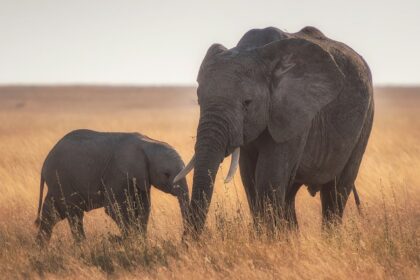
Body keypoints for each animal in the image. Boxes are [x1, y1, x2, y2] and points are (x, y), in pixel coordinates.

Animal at [36, 130, 190, 244]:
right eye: (166, 174)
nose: (183, 239)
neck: (148, 143)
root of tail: (44, 165)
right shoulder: (118, 174)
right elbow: (115, 208)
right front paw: (131, 241)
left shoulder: (140, 178)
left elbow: (143, 208)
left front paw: (141, 242)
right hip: (61, 179)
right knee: (74, 214)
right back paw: (82, 246)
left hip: (58, 183)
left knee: (52, 213)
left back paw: (41, 248)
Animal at [174, 26, 374, 235]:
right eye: (199, 100)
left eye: (247, 103)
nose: (188, 240)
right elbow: (250, 179)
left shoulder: (294, 113)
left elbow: (268, 178)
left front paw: (270, 239)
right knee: (290, 193)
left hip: (366, 119)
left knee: (336, 190)